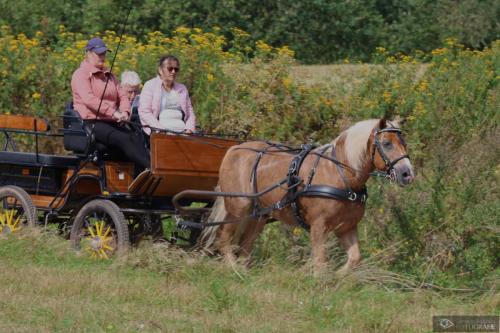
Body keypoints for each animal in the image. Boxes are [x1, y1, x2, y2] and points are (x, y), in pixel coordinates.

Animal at [199, 118, 414, 274]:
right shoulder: (318, 226)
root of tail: (234, 149)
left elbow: (354, 258)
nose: (407, 174)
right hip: (238, 208)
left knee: (245, 245)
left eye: (403, 143)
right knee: (224, 238)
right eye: (386, 143)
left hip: (259, 215)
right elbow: (320, 261)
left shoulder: (346, 227)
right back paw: (232, 267)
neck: (340, 175)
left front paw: (337, 276)